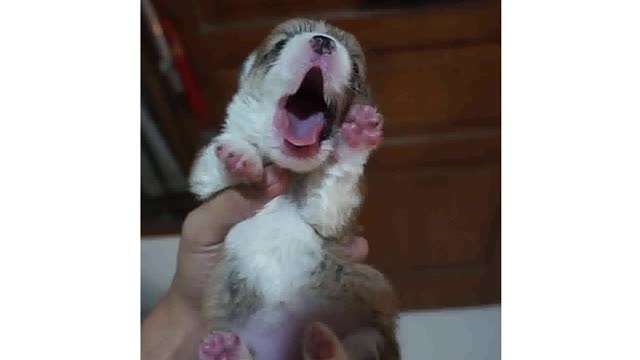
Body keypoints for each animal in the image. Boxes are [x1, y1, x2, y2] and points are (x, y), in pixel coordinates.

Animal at [190, 19, 400, 360]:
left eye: (355, 68)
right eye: (279, 45)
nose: (323, 42)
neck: (291, 169)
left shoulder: (330, 212)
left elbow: (337, 180)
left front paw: (357, 134)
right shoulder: (205, 186)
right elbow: (212, 165)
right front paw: (239, 154)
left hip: (371, 324)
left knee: (353, 345)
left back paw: (322, 345)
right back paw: (224, 350)